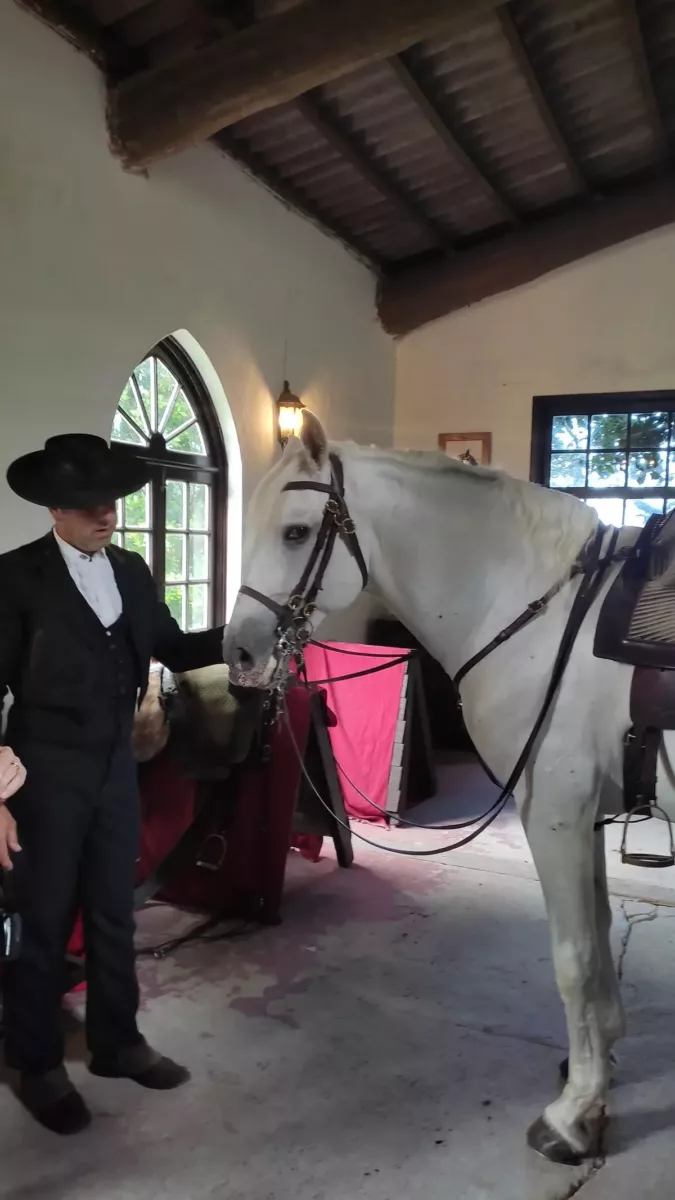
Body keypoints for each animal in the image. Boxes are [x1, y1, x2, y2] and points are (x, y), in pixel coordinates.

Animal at [223, 410, 667, 1161]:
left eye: (295, 532)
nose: (241, 653)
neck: (543, 614)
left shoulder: (555, 812)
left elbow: (573, 957)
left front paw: (573, 1115)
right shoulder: (583, 818)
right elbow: (600, 932)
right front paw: (598, 1057)